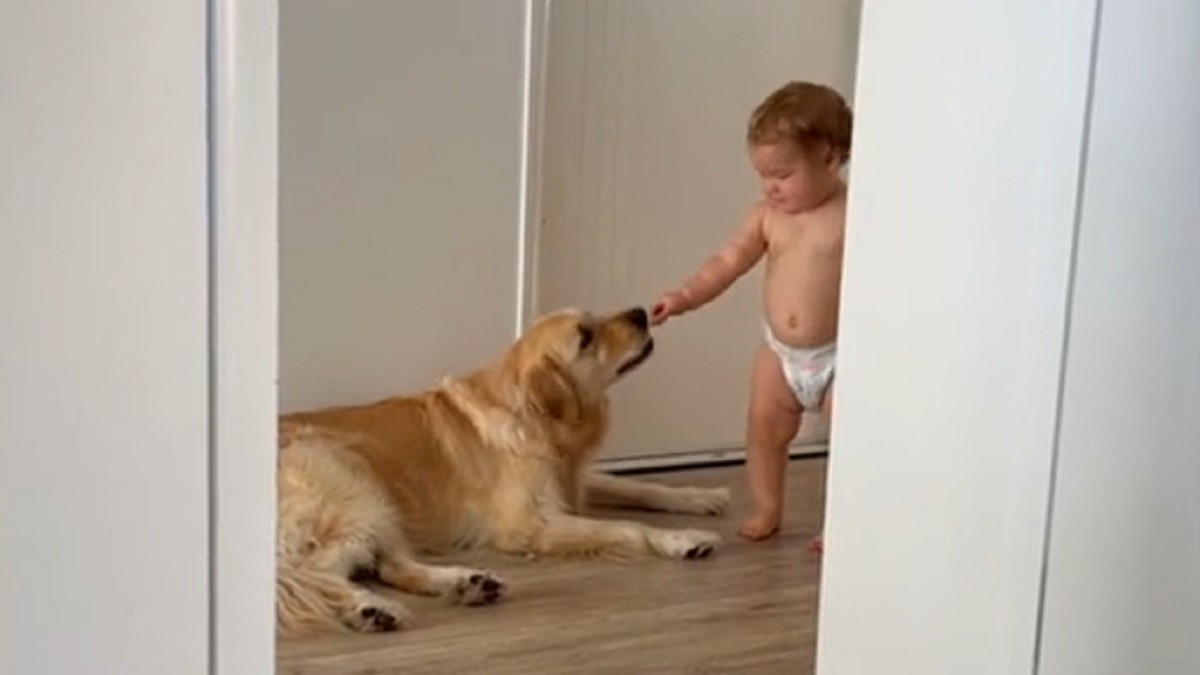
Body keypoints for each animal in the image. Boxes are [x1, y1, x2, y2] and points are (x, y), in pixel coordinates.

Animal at [274, 307, 724, 634]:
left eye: (594, 316)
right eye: (586, 338)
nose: (642, 313)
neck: (533, 416)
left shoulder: (567, 479)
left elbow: (636, 486)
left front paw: (702, 497)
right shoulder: (529, 523)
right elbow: (628, 527)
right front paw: (681, 539)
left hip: (380, 502)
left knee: (388, 566)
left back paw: (466, 584)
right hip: (353, 484)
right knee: (311, 574)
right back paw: (369, 608)